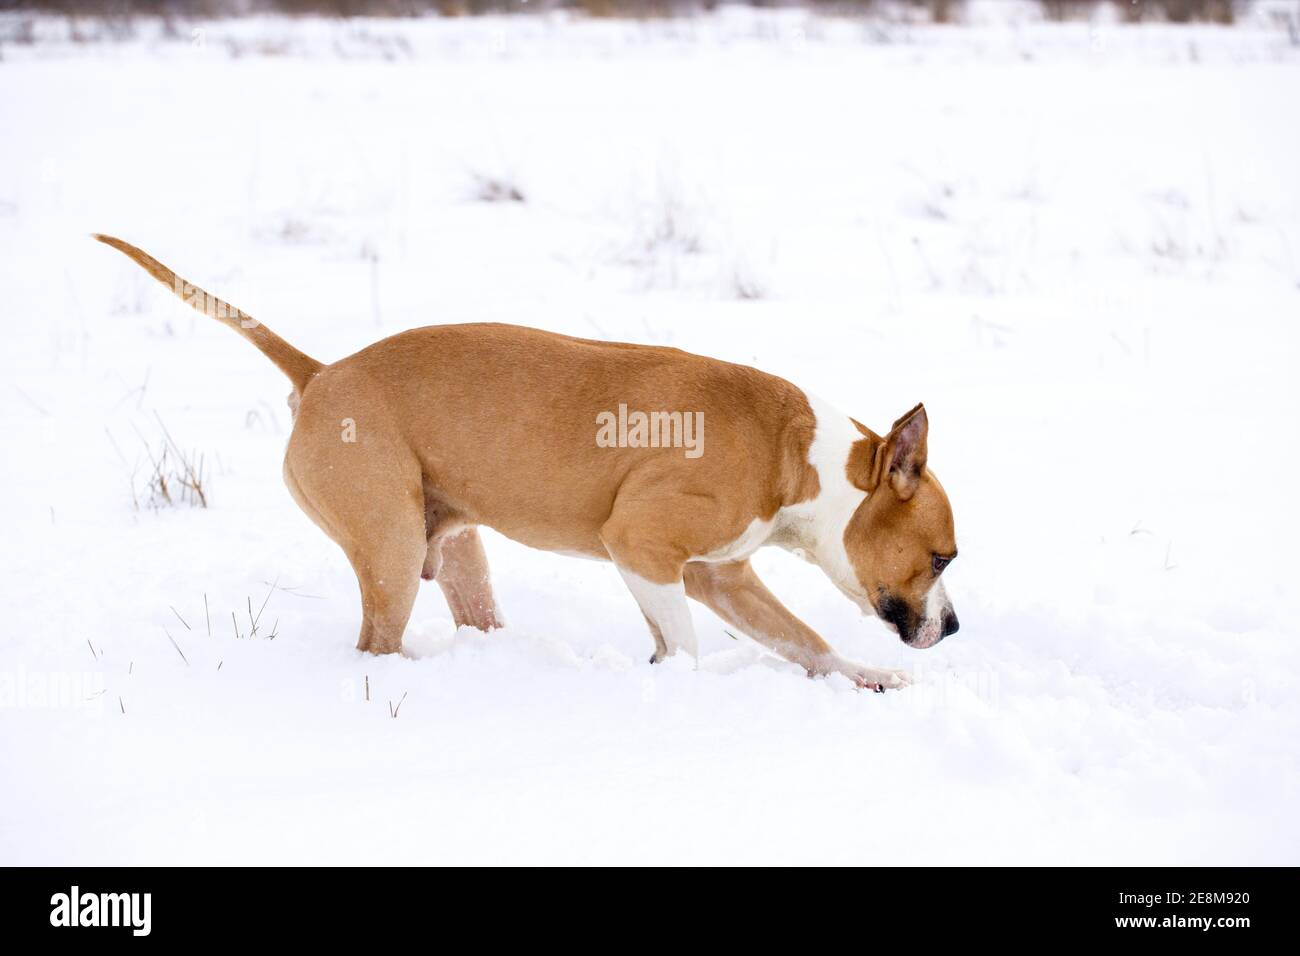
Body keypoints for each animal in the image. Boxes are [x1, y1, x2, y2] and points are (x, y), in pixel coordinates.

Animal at [96, 235, 956, 691]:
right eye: (943, 557)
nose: (953, 628)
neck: (798, 457)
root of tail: (320, 372)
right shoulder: (641, 547)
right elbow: (683, 646)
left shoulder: (723, 577)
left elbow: (804, 639)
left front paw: (868, 677)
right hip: (391, 549)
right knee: (376, 644)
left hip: (454, 552)